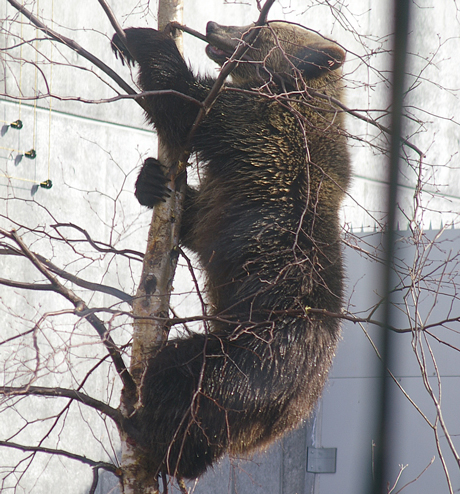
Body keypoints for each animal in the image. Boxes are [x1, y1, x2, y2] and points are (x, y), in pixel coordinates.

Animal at [111, 19, 348, 482]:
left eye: (259, 30)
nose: (212, 24)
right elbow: (195, 219)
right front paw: (150, 180)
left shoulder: (258, 129)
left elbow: (185, 102)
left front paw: (138, 38)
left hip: (249, 358)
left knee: (178, 373)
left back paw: (151, 431)